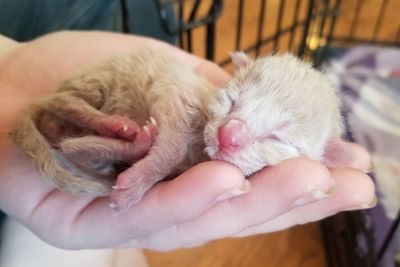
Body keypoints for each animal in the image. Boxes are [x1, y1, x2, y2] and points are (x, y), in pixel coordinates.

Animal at [10, 48, 352, 211]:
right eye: (233, 101)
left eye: (278, 138)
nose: (228, 135)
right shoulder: (172, 91)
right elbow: (171, 146)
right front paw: (135, 183)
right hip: (95, 79)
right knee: (63, 104)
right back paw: (117, 126)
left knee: (71, 144)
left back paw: (128, 139)